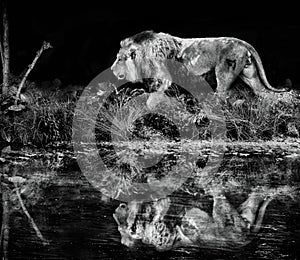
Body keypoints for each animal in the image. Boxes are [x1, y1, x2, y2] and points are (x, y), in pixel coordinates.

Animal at [110, 31, 288, 109]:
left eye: (119, 58)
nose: (111, 70)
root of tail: (242, 42)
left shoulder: (163, 79)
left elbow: (151, 100)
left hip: (224, 73)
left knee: (221, 96)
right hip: (250, 75)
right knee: (263, 93)